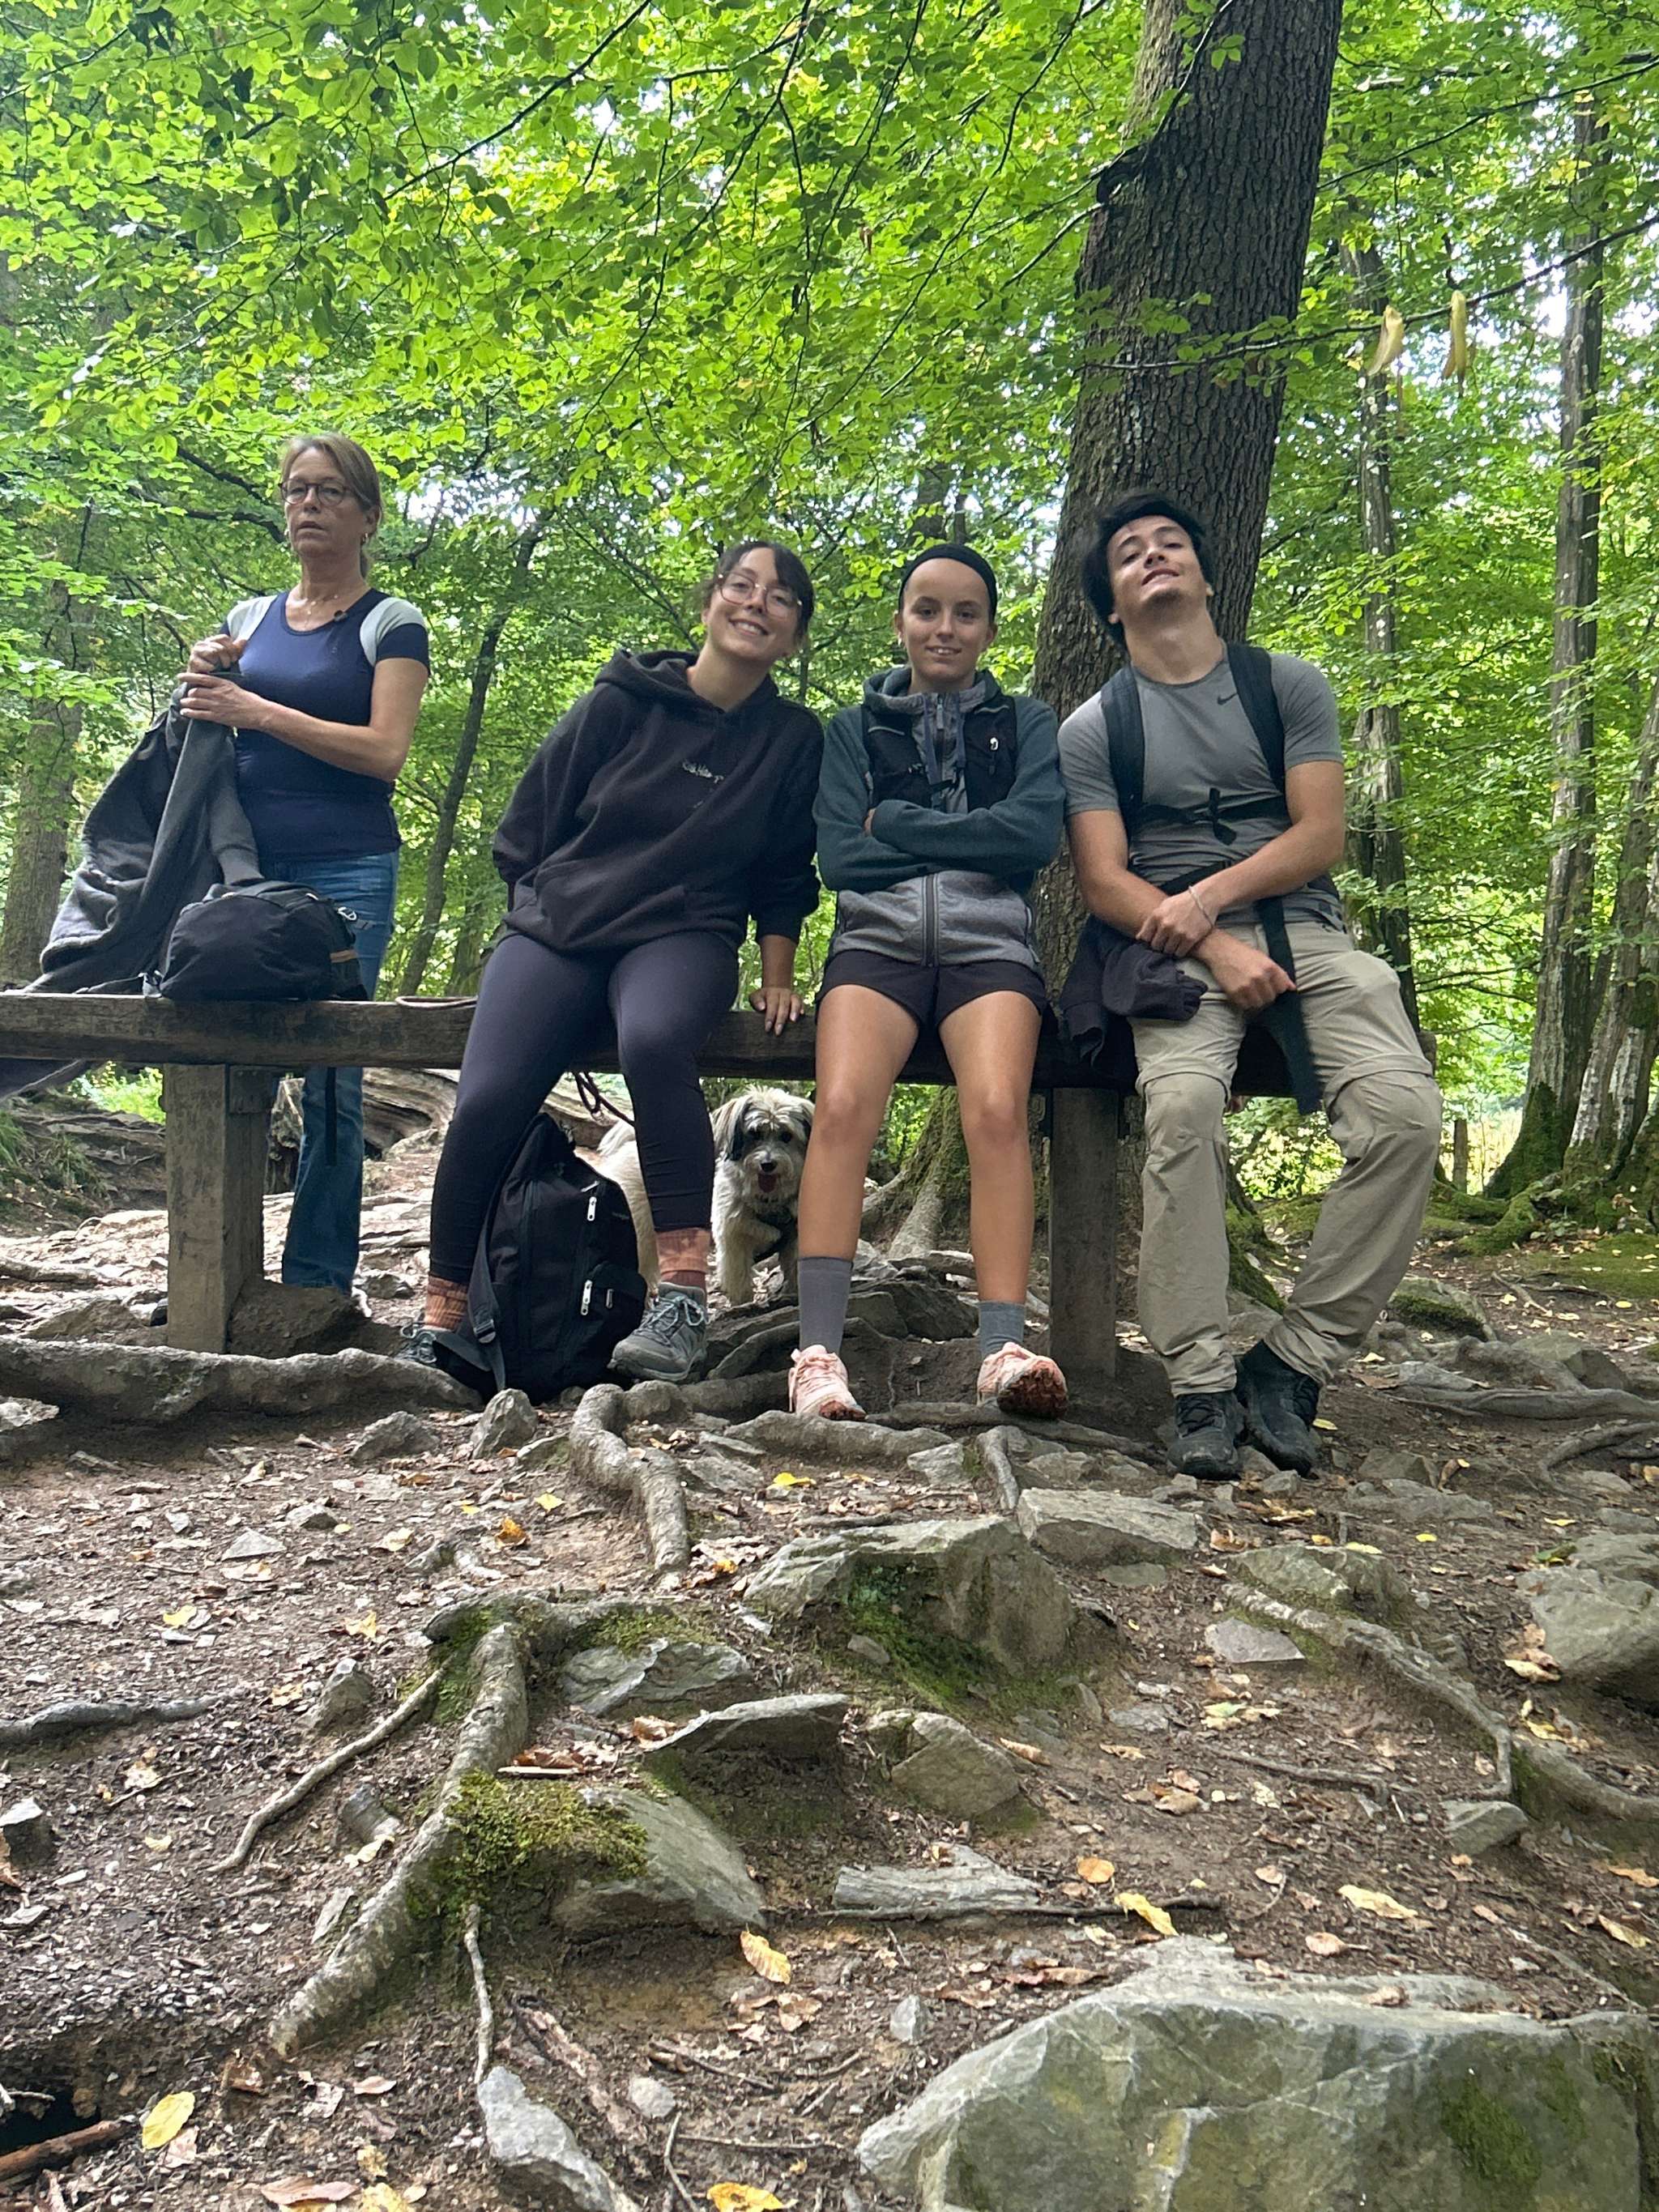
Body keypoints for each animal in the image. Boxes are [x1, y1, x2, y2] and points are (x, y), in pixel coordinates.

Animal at [596, 1086, 813, 1307]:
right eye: (755, 1133)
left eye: (786, 1136)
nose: (768, 1164)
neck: (767, 1199)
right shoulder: (734, 1241)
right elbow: (740, 1280)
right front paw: (743, 1304)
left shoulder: (794, 1238)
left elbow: (795, 1269)